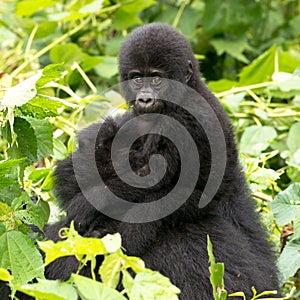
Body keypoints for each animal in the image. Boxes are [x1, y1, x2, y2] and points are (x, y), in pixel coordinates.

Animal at [45, 22, 282, 298]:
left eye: (157, 79)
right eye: (138, 79)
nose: (145, 99)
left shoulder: (186, 121)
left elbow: (150, 177)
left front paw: (89, 202)